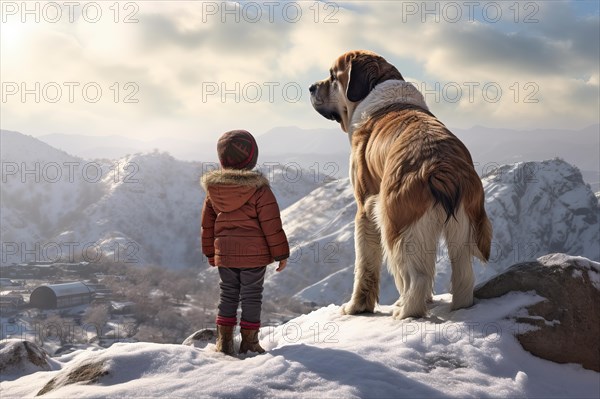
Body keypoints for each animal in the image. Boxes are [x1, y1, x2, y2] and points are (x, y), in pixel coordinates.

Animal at [310, 50, 492, 320]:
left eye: (333, 77)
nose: (311, 87)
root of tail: (441, 163)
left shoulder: (365, 209)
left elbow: (365, 266)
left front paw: (356, 307)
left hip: (397, 225)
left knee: (416, 277)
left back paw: (405, 311)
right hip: (463, 226)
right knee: (462, 275)